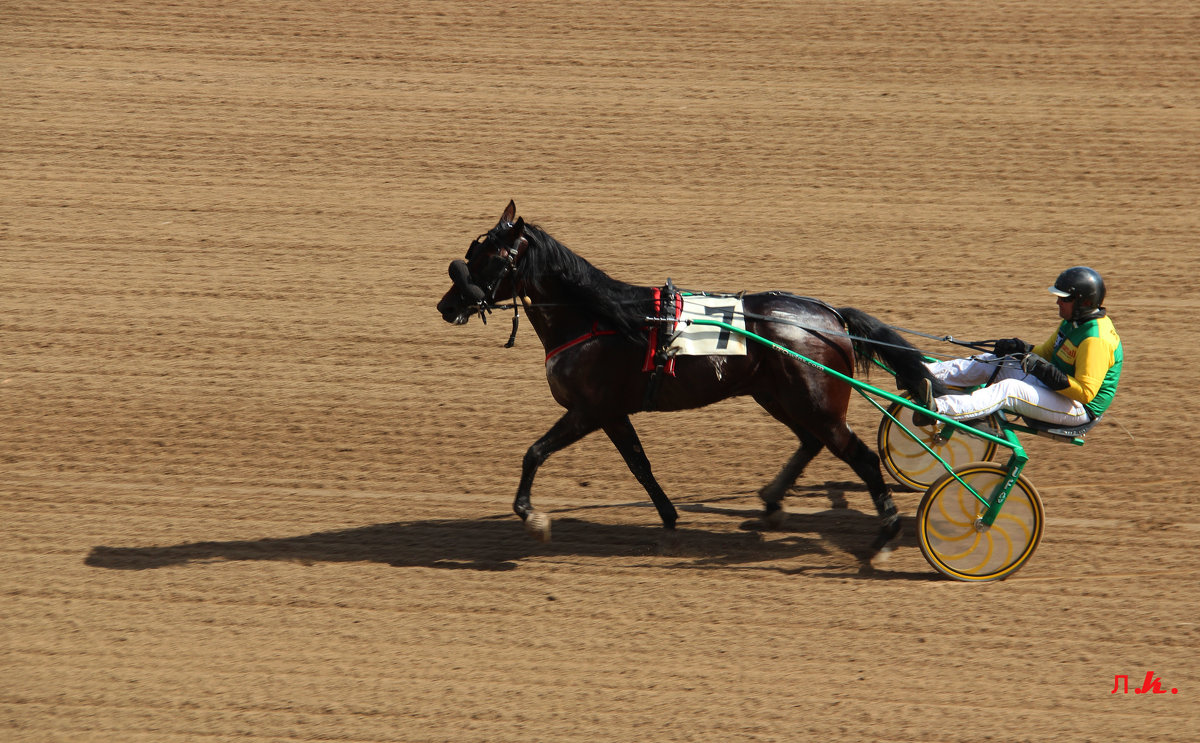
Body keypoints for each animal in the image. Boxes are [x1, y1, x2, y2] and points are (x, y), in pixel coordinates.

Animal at [436, 200, 940, 561]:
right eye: (470, 254)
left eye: (488, 259)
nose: (447, 305)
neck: (596, 319)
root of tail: (832, 316)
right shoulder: (613, 413)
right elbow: (641, 466)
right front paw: (669, 521)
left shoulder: (588, 410)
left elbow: (534, 453)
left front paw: (531, 516)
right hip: (777, 396)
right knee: (811, 442)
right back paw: (772, 503)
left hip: (816, 404)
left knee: (862, 457)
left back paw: (885, 537)